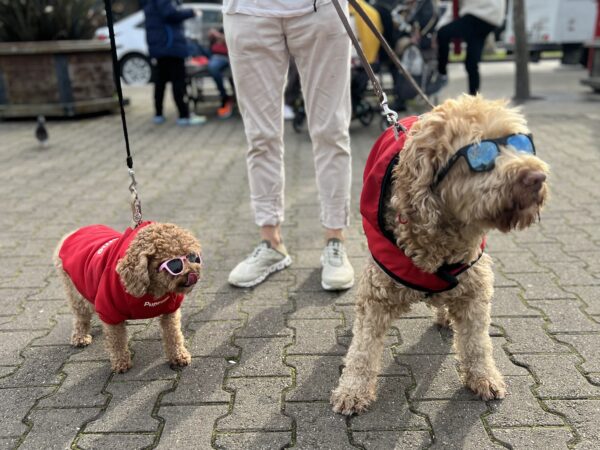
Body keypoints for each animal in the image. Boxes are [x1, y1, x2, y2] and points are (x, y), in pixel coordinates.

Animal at [52, 221, 202, 372]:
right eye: (174, 264)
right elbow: (116, 340)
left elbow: (173, 334)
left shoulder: (170, 310)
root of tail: (72, 233)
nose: (193, 273)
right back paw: (80, 337)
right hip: (74, 291)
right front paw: (121, 362)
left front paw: (178, 356)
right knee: (81, 316)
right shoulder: (109, 310)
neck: (152, 291)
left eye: (192, 256)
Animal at [330, 95, 552, 414]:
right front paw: (353, 390)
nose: (537, 177)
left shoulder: (475, 288)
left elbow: (477, 342)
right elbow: (363, 349)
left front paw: (483, 377)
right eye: (479, 153)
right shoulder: (376, 296)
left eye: (521, 143)